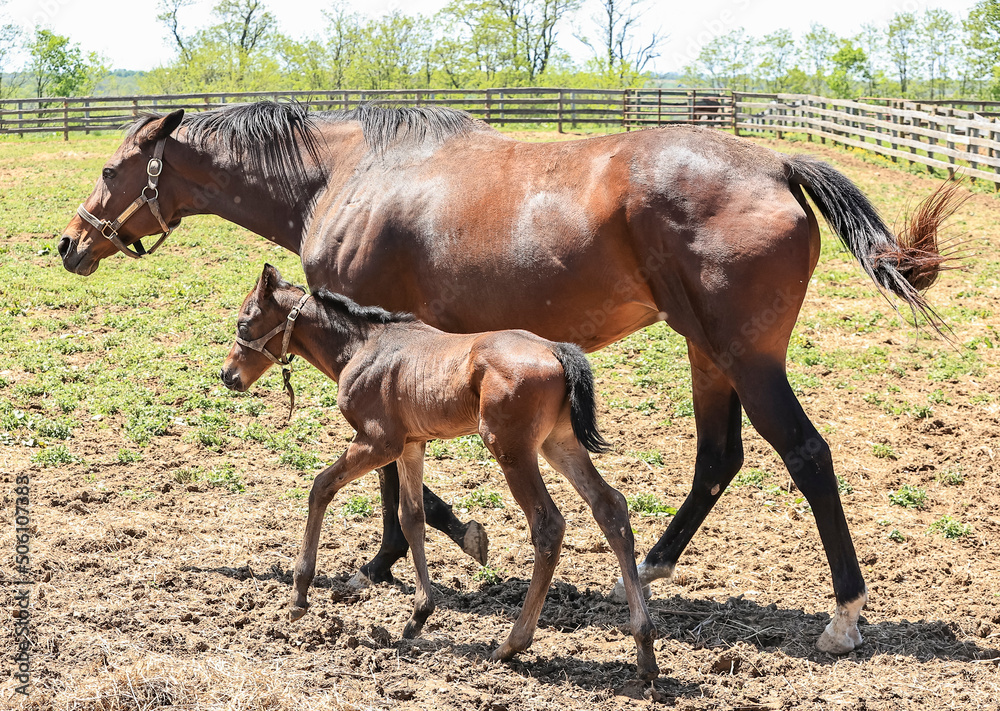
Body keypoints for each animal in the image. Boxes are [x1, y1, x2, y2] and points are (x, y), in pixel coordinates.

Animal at [221, 263, 659, 679]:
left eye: (244, 324)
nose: (227, 375)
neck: (362, 347)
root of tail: (556, 349)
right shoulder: (411, 445)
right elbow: (411, 516)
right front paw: (419, 615)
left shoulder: (377, 442)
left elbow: (320, 487)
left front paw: (299, 595)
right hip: (559, 443)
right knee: (610, 507)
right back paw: (644, 647)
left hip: (511, 449)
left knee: (548, 525)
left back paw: (512, 644)